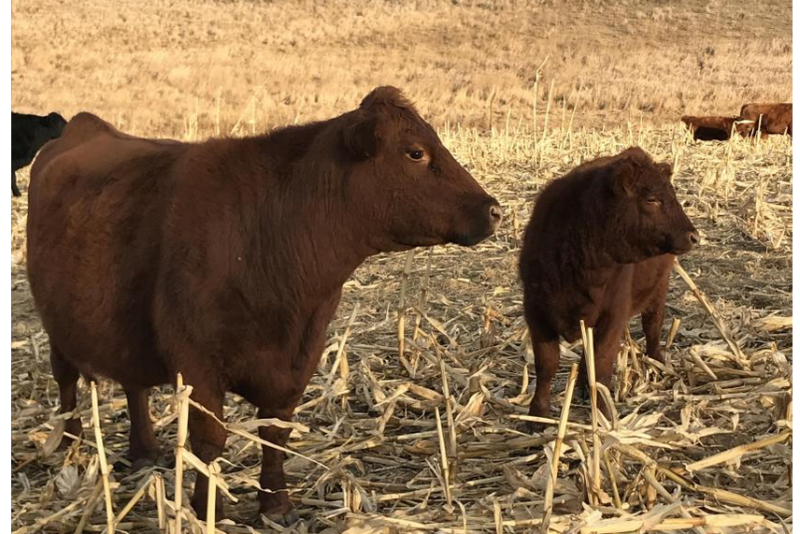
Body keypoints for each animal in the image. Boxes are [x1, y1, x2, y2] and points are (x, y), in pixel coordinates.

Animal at [26, 86, 502, 524]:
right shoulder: (196, 361)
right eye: (415, 152)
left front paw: (277, 505)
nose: (493, 210)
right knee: (66, 379)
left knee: (134, 385)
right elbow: (209, 441)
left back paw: (144, 450)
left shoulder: (299, 359)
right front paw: (207, 509)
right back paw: (69, 445)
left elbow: (275, 434)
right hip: (57, 326)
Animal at [519, 147, 697, 429]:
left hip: (658, 289)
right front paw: (537, 415)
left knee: (653, 325)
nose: (693, 236)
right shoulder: (537, 312)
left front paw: (602, 413)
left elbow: (602, 364)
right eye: (651, 199)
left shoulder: (613, 313)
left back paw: (657, 362)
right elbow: (547, 365)